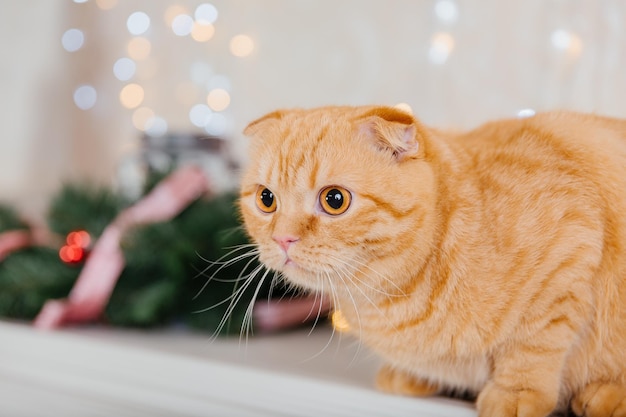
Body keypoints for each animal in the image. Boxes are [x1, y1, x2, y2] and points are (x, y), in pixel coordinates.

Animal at [238, 105, 624, 414]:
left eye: (335, 200)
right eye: (266, 199)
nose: (283, 238)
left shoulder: (571, 250)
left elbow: (534, 344)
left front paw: (515, 392)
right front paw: (411, 375)